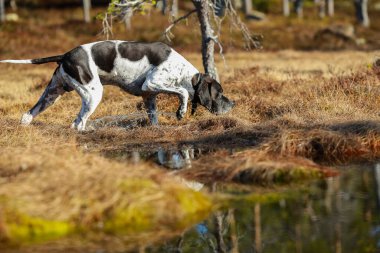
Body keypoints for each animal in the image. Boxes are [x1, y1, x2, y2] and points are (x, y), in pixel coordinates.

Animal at [0, 40, 235, 131]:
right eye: (220, 93)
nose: (232, 104)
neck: (185, 73)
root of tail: (65, 55)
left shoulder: (148, 96)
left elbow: (154, 117)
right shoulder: (153, 82)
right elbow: (183, 92)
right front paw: (180, 112)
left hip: (52, 94)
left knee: (29, 114)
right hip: (93, 94)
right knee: (78, 123)